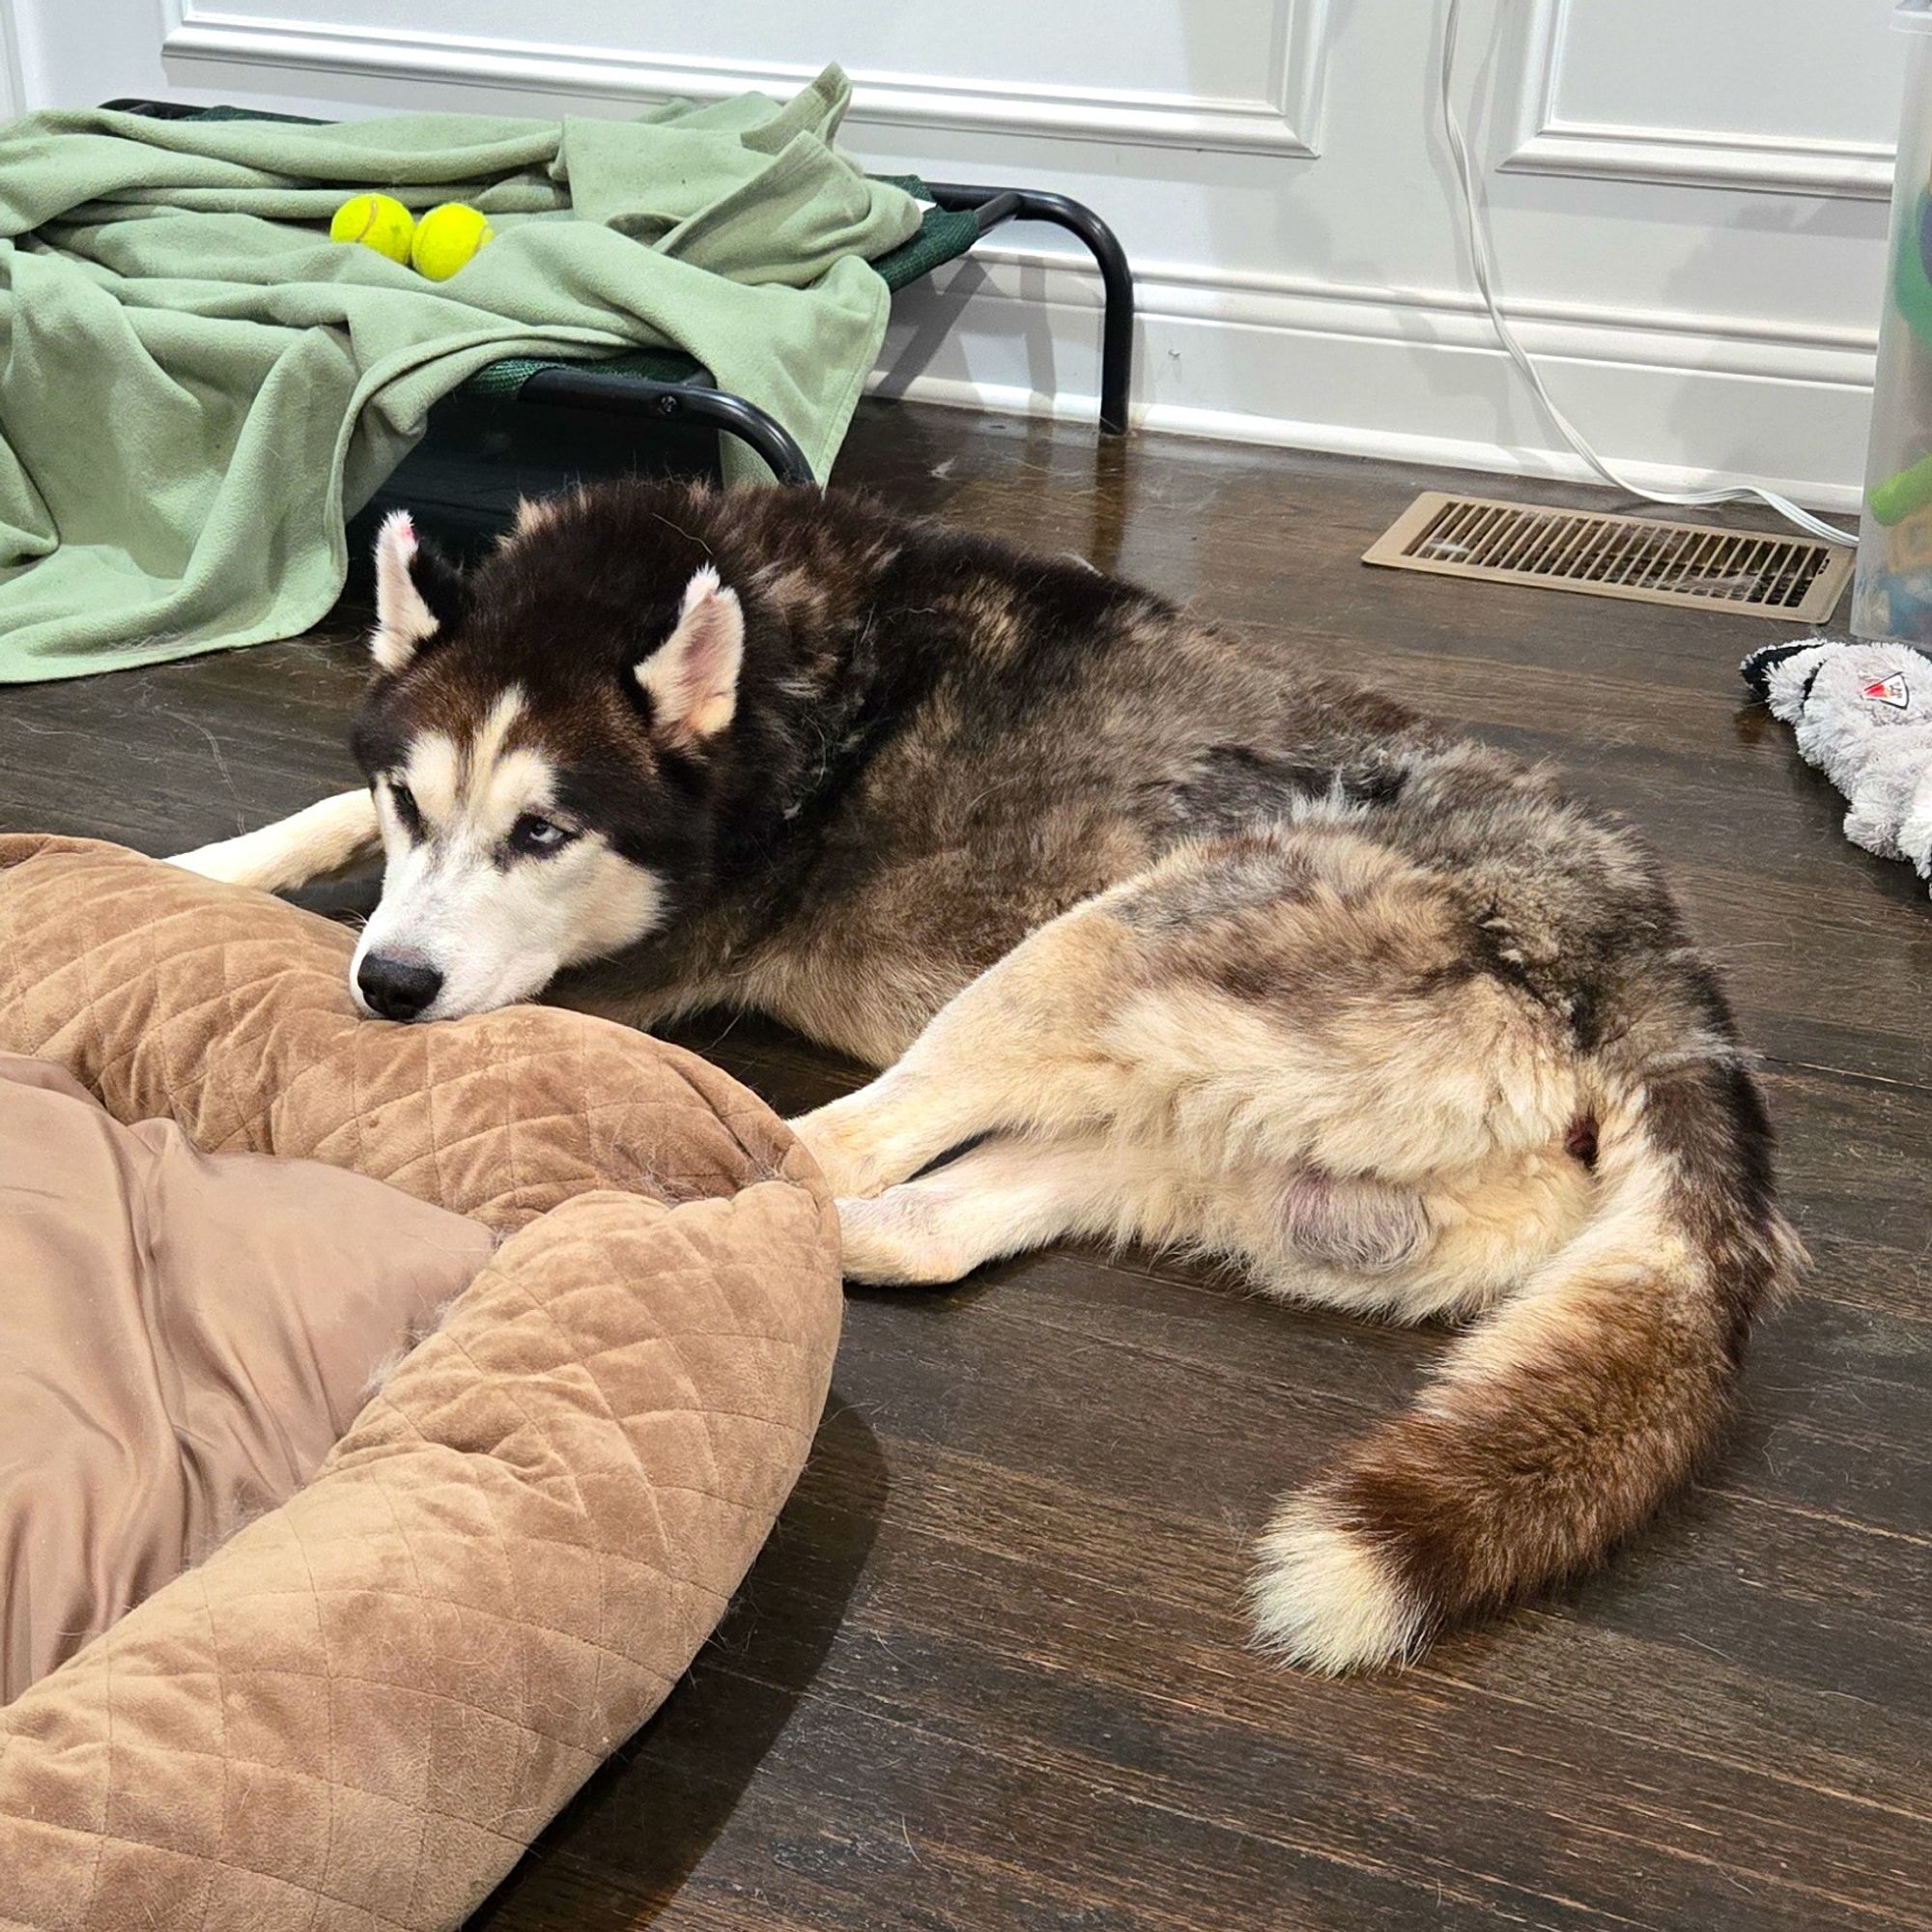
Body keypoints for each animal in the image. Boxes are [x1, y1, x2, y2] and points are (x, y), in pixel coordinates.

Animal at [174, 483, 1801, 1677]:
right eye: (415, 800)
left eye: (543, 833)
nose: (391, 990)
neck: (783, 671)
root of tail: (1660, 959)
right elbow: (313, 825)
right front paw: (202, 858)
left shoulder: (649, 955)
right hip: (1239, 1161)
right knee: (919, 1224)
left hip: (1094, 951)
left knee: (825, 1152)